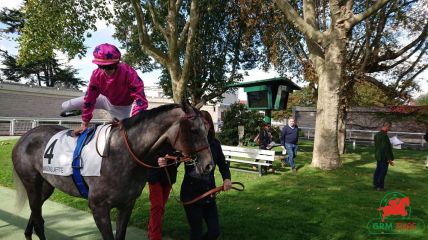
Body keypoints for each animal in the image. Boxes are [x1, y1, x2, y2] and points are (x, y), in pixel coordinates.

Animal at [12, 102, 214, 239]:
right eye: (194, 130)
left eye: (206, 129)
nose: (209, 165)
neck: (121, 154)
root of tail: (25, 137)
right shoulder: (98, 207)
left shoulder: (127, 204)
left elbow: (120, 235)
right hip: (31, 183)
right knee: (38, 219)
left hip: (46, 185)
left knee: (35, 212)